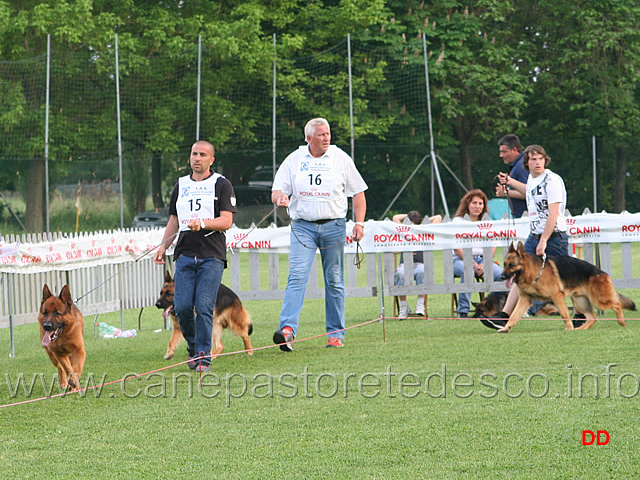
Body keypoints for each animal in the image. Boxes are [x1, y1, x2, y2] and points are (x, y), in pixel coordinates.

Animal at [498, 240, 632, 334]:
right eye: (504, 264)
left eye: (512, 265)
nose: (501, 276)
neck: (534, 272)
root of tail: (602, 272)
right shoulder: (524, 300)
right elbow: (514, 316)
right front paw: (506, 328)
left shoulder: (557, 296)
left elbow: (564, 314)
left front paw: (569, 328)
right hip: (580, 302)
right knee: (592, 318)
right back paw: (580, 329)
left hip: (598, 300)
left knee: (617, 304)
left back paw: (622, 322)